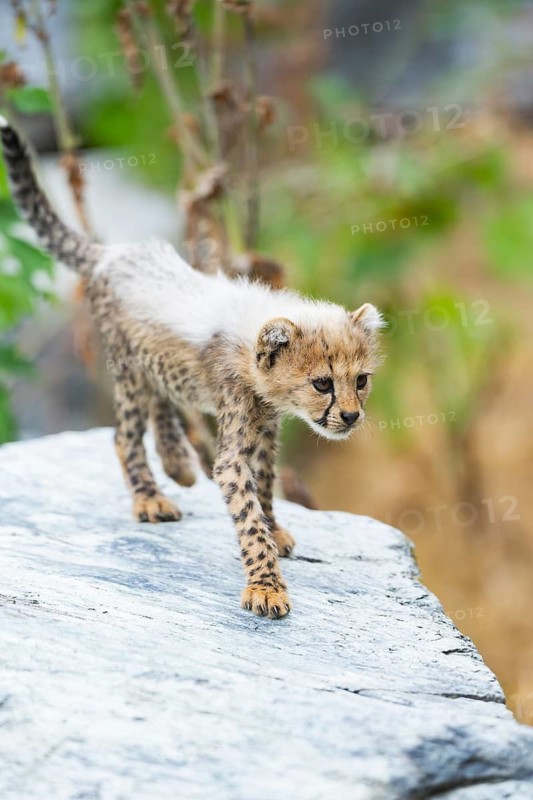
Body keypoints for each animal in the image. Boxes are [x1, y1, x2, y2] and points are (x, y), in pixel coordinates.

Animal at [0, 116, 383, 619]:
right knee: (124, 434)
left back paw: (178, 462)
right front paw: (266, 586)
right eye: (322, 383)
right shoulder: (234, 439)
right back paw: (150, 497)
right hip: (125, 366)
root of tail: (115, 253)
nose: (352, 416)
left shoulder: (265, 426)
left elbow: (265, 481)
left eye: (360, 380)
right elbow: (246, 512)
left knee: (160, 398)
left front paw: (275, 528)